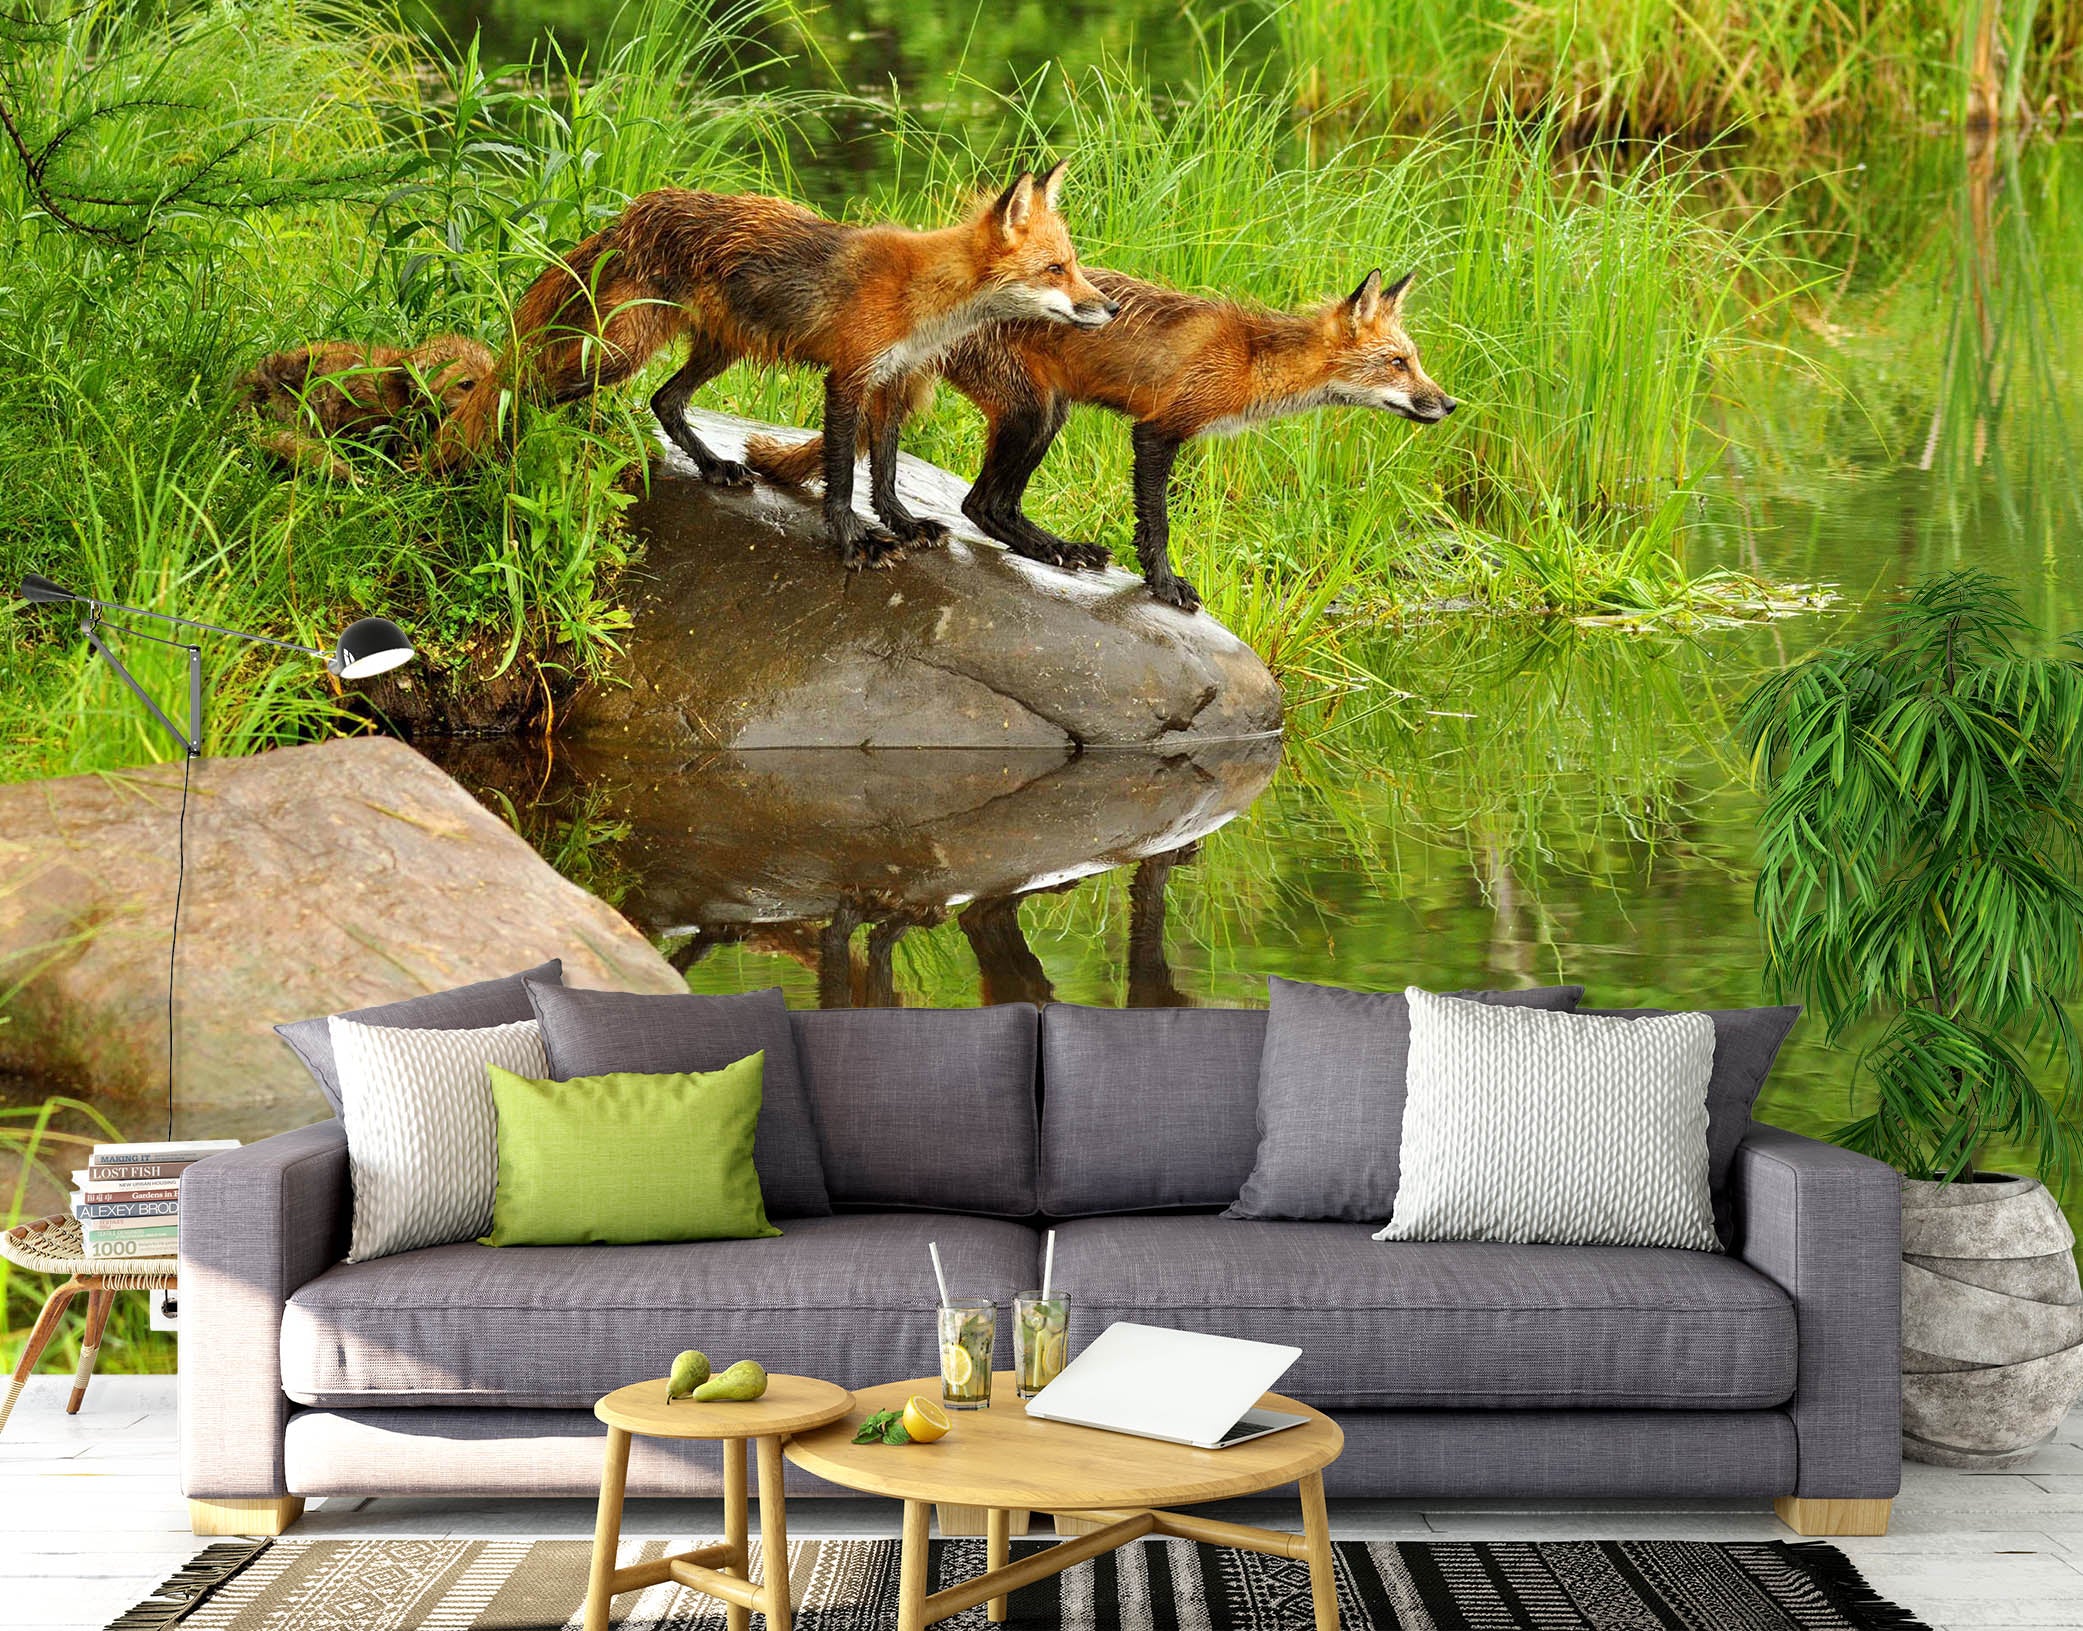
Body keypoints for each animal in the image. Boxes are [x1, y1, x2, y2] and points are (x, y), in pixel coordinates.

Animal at [428, 163, 1117, 568]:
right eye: (1056, 270)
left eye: (1075, 266)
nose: (1109, 309)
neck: (923, 300)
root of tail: (632, 214)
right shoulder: (849, 376)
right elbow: (842, 475)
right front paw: (853, 539)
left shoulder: (892, 380)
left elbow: (886, 470)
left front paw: (901, 523)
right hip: (619, 353)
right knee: (521, 389)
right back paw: (483, 461)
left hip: (718, 347)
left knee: (663, 401)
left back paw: (713, 466)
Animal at [744, 267, 1454, 609]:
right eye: (1398, 364)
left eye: (1416, 361)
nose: (1448, 403)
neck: (1252, 360)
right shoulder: (1159, 429)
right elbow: (1158, 524)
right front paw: (1164, 587)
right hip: (1033, 411)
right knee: (981, 503)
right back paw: (1056, 550)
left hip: (1036, 413)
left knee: (943, 484)